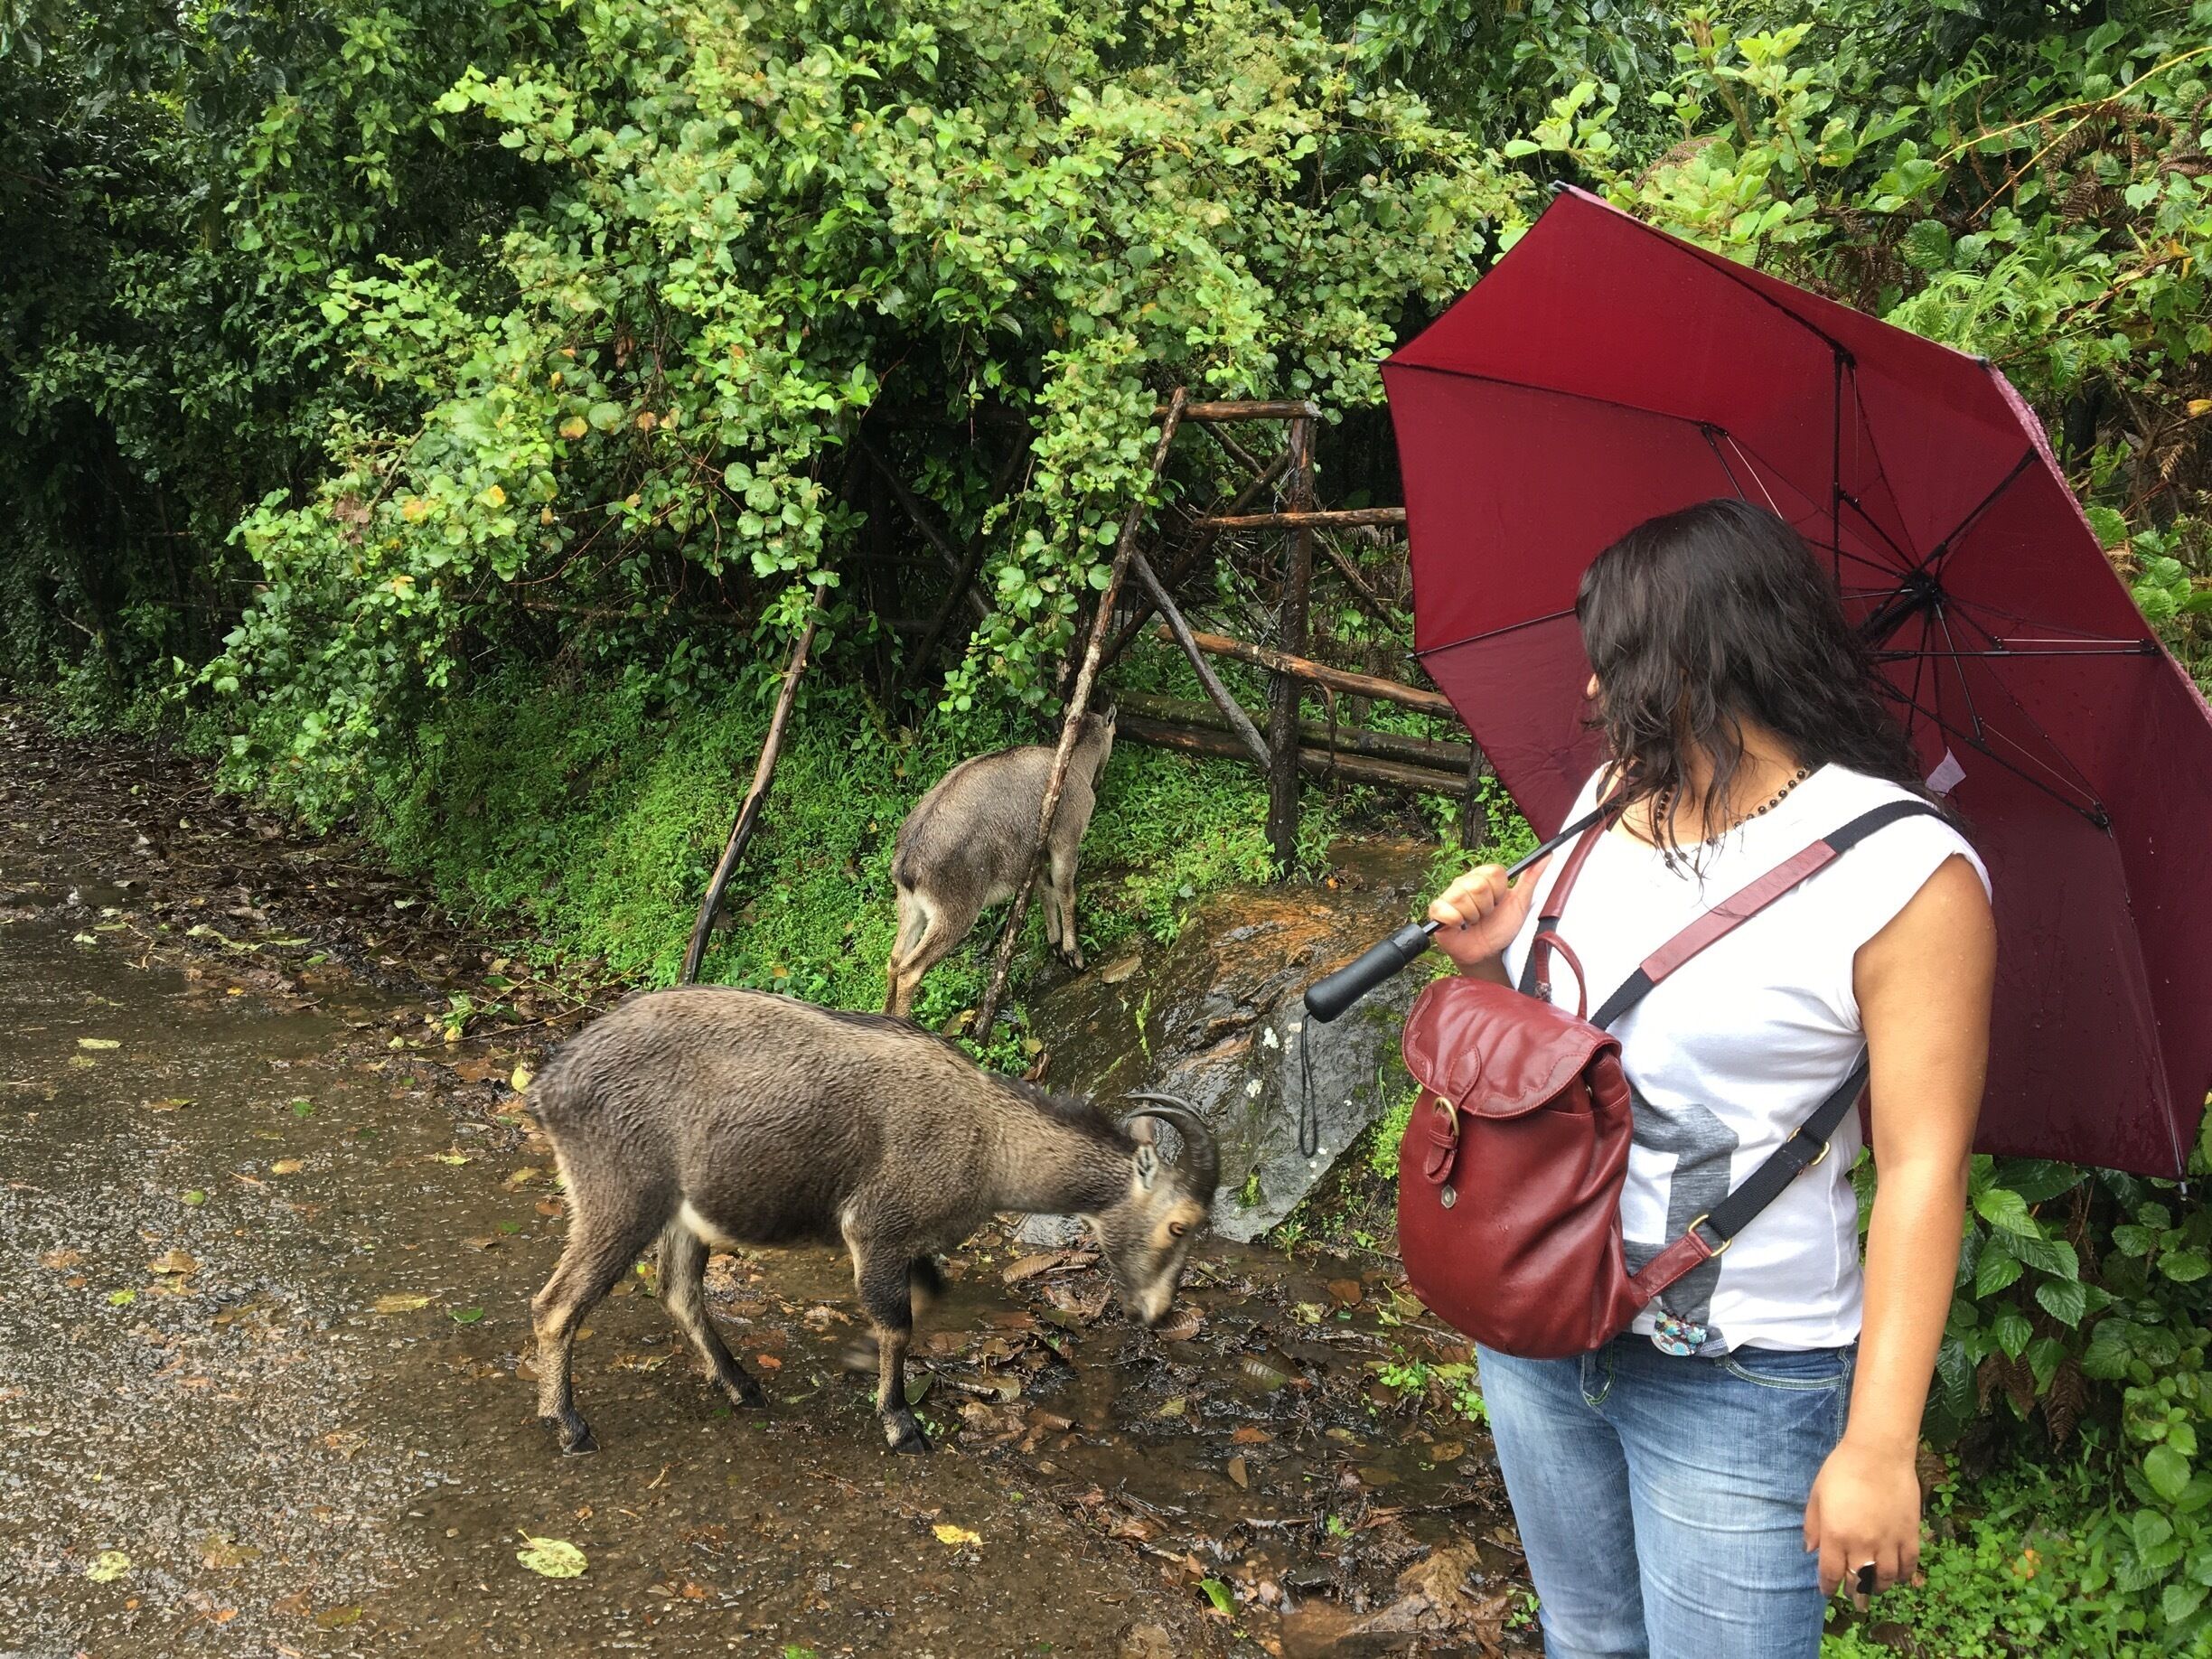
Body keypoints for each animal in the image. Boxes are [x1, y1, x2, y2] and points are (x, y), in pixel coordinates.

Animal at [525, 985, 1217, 1455]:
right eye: (1181, 1224)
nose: (1157, 1314)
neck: (991, 1140)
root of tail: (550, 1083)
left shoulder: (910, 1242)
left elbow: (929, 1294)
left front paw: (859, 1359)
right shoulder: (876, 1228)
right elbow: (897, 1322)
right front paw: (900, 1422)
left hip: (683, 1215)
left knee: (677, 1289)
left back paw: (740, 1384)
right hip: (620, 1200)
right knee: (557, 1303)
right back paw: (569, 1425)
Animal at [883, 709, 1116, 1019]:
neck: (1074, 765)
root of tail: (907, 867)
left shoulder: (1031, 861)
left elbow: (1045, 893)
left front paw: (1055, 942)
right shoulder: (1065, 841)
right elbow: (1065, 892)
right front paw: (1072, 953)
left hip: (911, 909)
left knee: (895, 961)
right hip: (954, 912)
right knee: (911, 970)